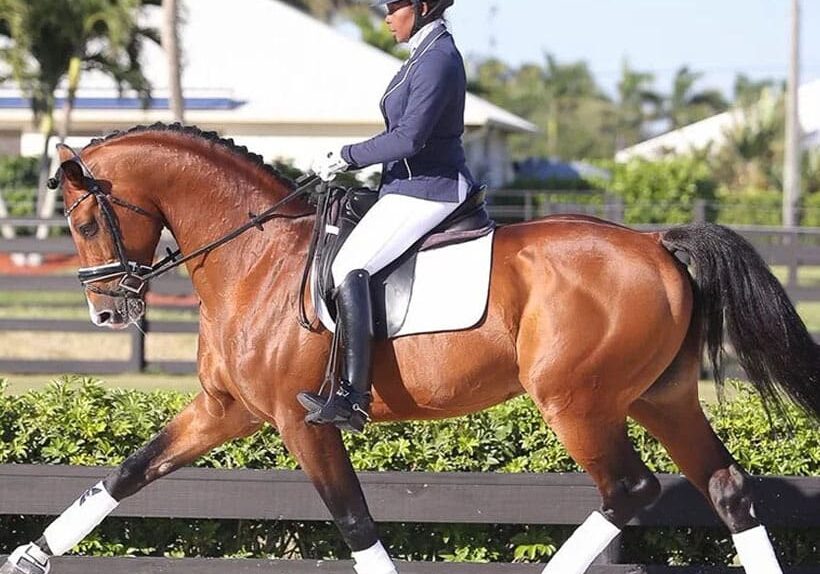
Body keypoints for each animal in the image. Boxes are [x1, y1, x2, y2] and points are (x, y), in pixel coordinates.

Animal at [3, 126, 816, 574]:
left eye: (81, 221)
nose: (108, 311)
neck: (254, 258)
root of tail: (657, 244)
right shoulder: (224, 408)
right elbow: (127, 473)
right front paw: (29, 555)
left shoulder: (301, 421)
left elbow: (355, 521)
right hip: (658, 398)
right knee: (727, 492)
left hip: (577, 402)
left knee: (629, 491)